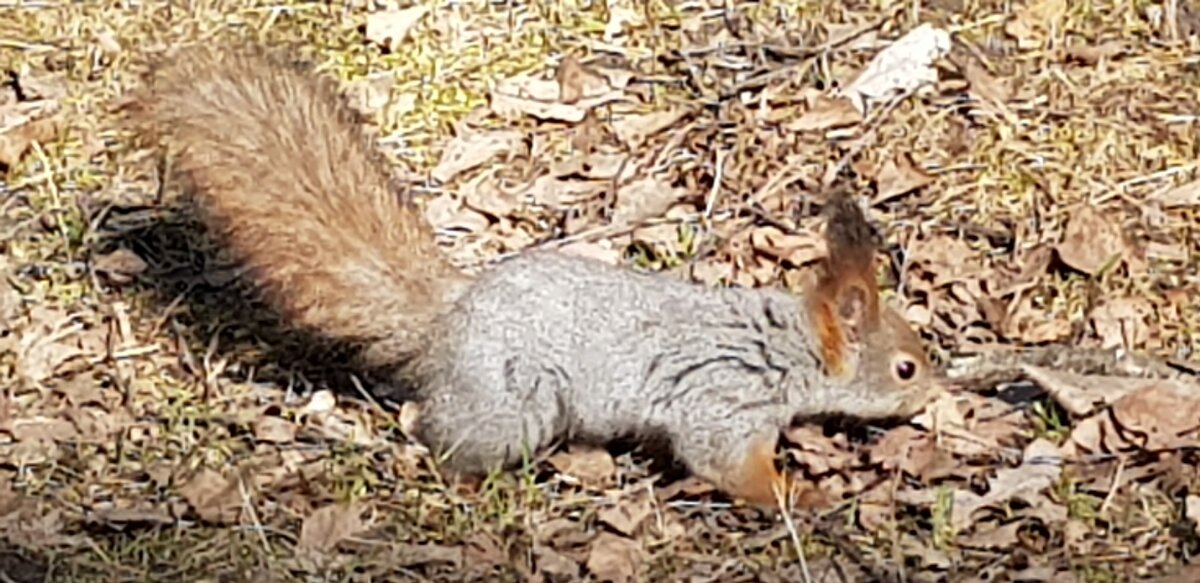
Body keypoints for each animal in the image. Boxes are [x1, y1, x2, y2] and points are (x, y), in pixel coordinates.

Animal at [124, 44, 945, 506]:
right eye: (905, 367)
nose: (935, 396)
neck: (791, 346)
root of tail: (451, 315)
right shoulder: (724, 401)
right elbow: (725, 463)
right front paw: (797, 495)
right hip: (516, 401)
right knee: (436, 431)